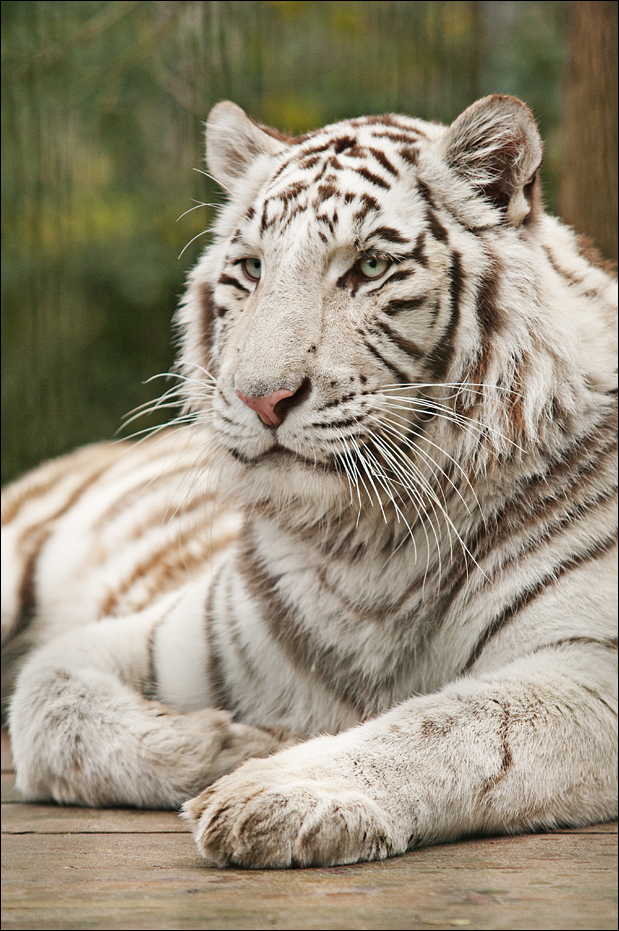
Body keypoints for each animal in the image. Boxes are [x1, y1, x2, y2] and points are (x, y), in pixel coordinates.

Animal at [1, 94, 617, 870]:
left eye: (370, 265)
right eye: (251, 268)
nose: (261, 396)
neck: (365, 542)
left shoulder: (591, 669)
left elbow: (453, 723)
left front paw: (274, 791)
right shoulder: (168, 636)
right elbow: (47, 699)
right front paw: (237, 743)